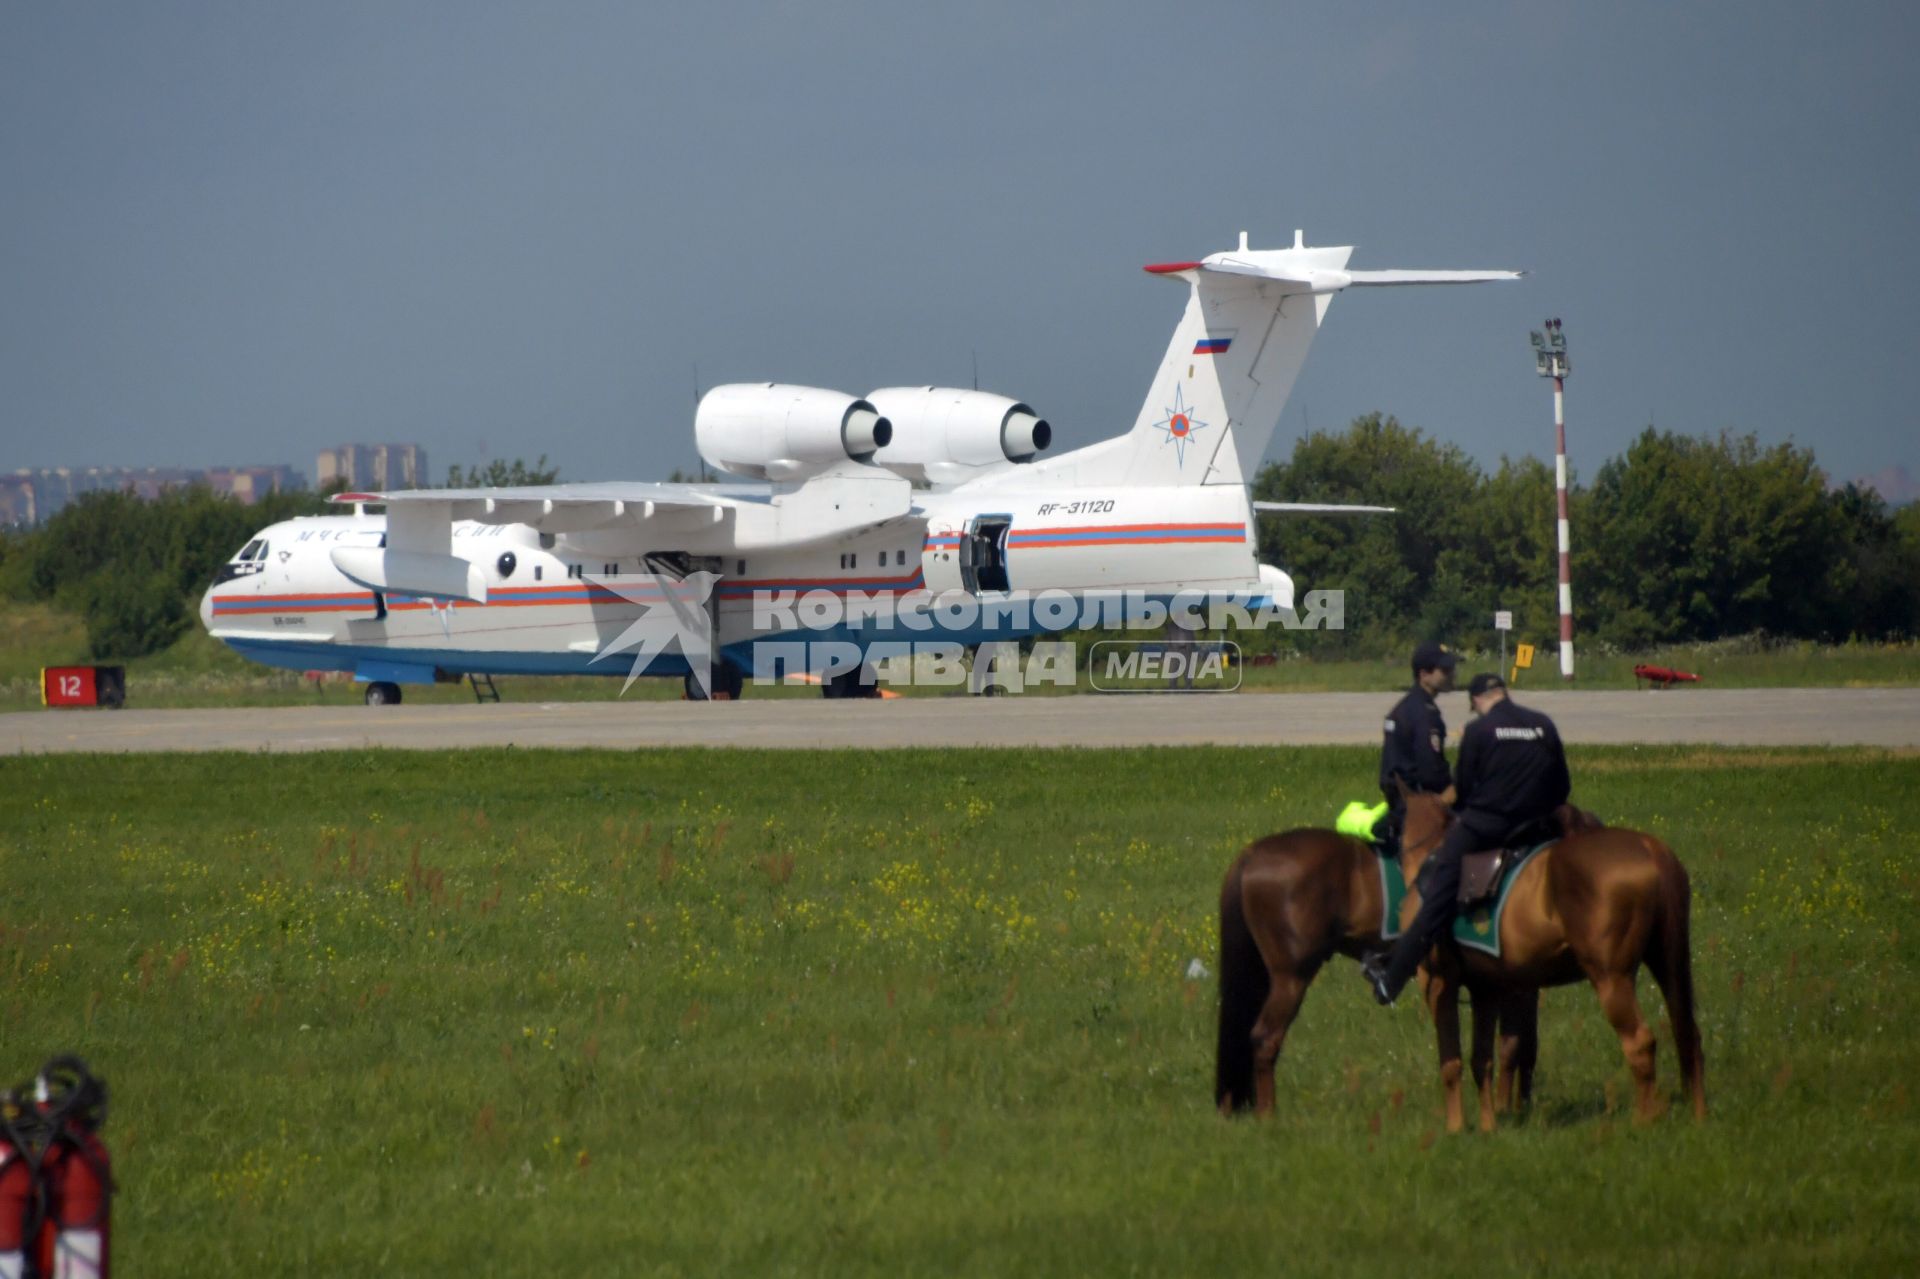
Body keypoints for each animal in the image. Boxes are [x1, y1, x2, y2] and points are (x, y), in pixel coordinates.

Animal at [1221, 791, 1704, 1129]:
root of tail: (1252, 853)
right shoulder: (1506, 984)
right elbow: (1511, 1047)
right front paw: (1507, 1109)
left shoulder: (1508, 983)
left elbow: (1512, 1047)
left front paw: (1509, 1109)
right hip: (1291, 977)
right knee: (1264, 1037)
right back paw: (1268, 1118)